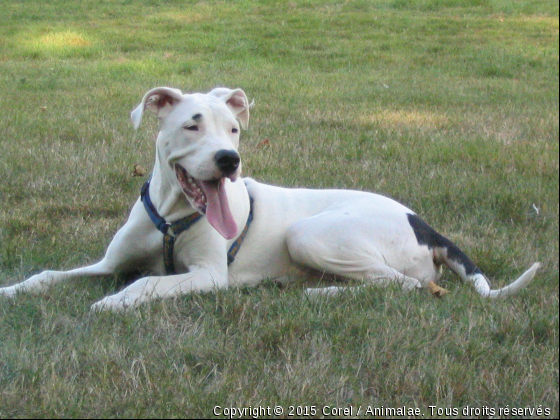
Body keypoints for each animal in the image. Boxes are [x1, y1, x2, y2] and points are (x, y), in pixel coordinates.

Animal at [1, 87, 544, 310]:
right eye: (192, 124)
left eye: (234, 129)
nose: (229, 160)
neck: (173, 214)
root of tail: (423, 223)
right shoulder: (109, 263)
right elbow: (47, 276)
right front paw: (10, 291)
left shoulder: (208, 276)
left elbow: (147, 283)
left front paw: (114, 303)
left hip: (310, 233)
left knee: (407, 285)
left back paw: (318, 293)